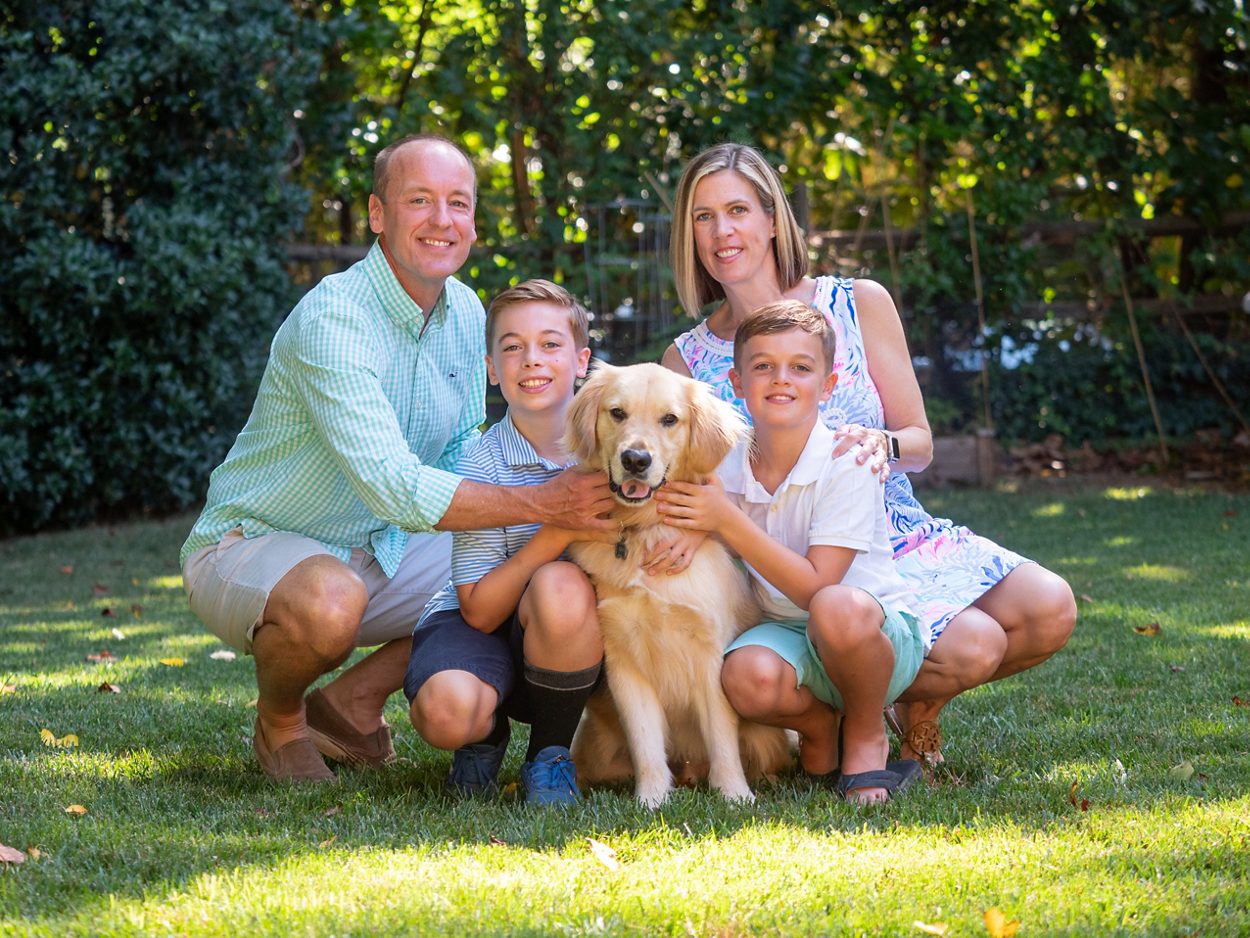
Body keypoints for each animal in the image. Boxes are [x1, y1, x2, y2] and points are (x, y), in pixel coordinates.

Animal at [565, 362, 790, 810]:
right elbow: (646, 743)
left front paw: (735, 796)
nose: (636, 459)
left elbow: (722, 739)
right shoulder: (623, 659)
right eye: (617, 413)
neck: (644, 529)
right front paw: (651, 800)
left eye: (670, 419)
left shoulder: (711, 654)